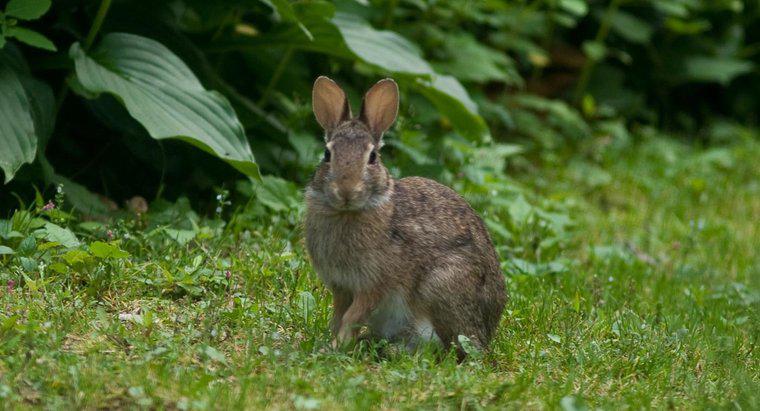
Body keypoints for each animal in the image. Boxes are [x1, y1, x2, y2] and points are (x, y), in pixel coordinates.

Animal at [302, 75, 504, 358]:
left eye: (372, 157)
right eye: (327, 154)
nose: (346, 191)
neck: (348, 212)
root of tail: (487, 331)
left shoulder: (373, 285)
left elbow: (352, 317)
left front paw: (334, 347)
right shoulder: (341, 287)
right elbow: (339, 316)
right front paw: (332, 344)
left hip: (441, 287)